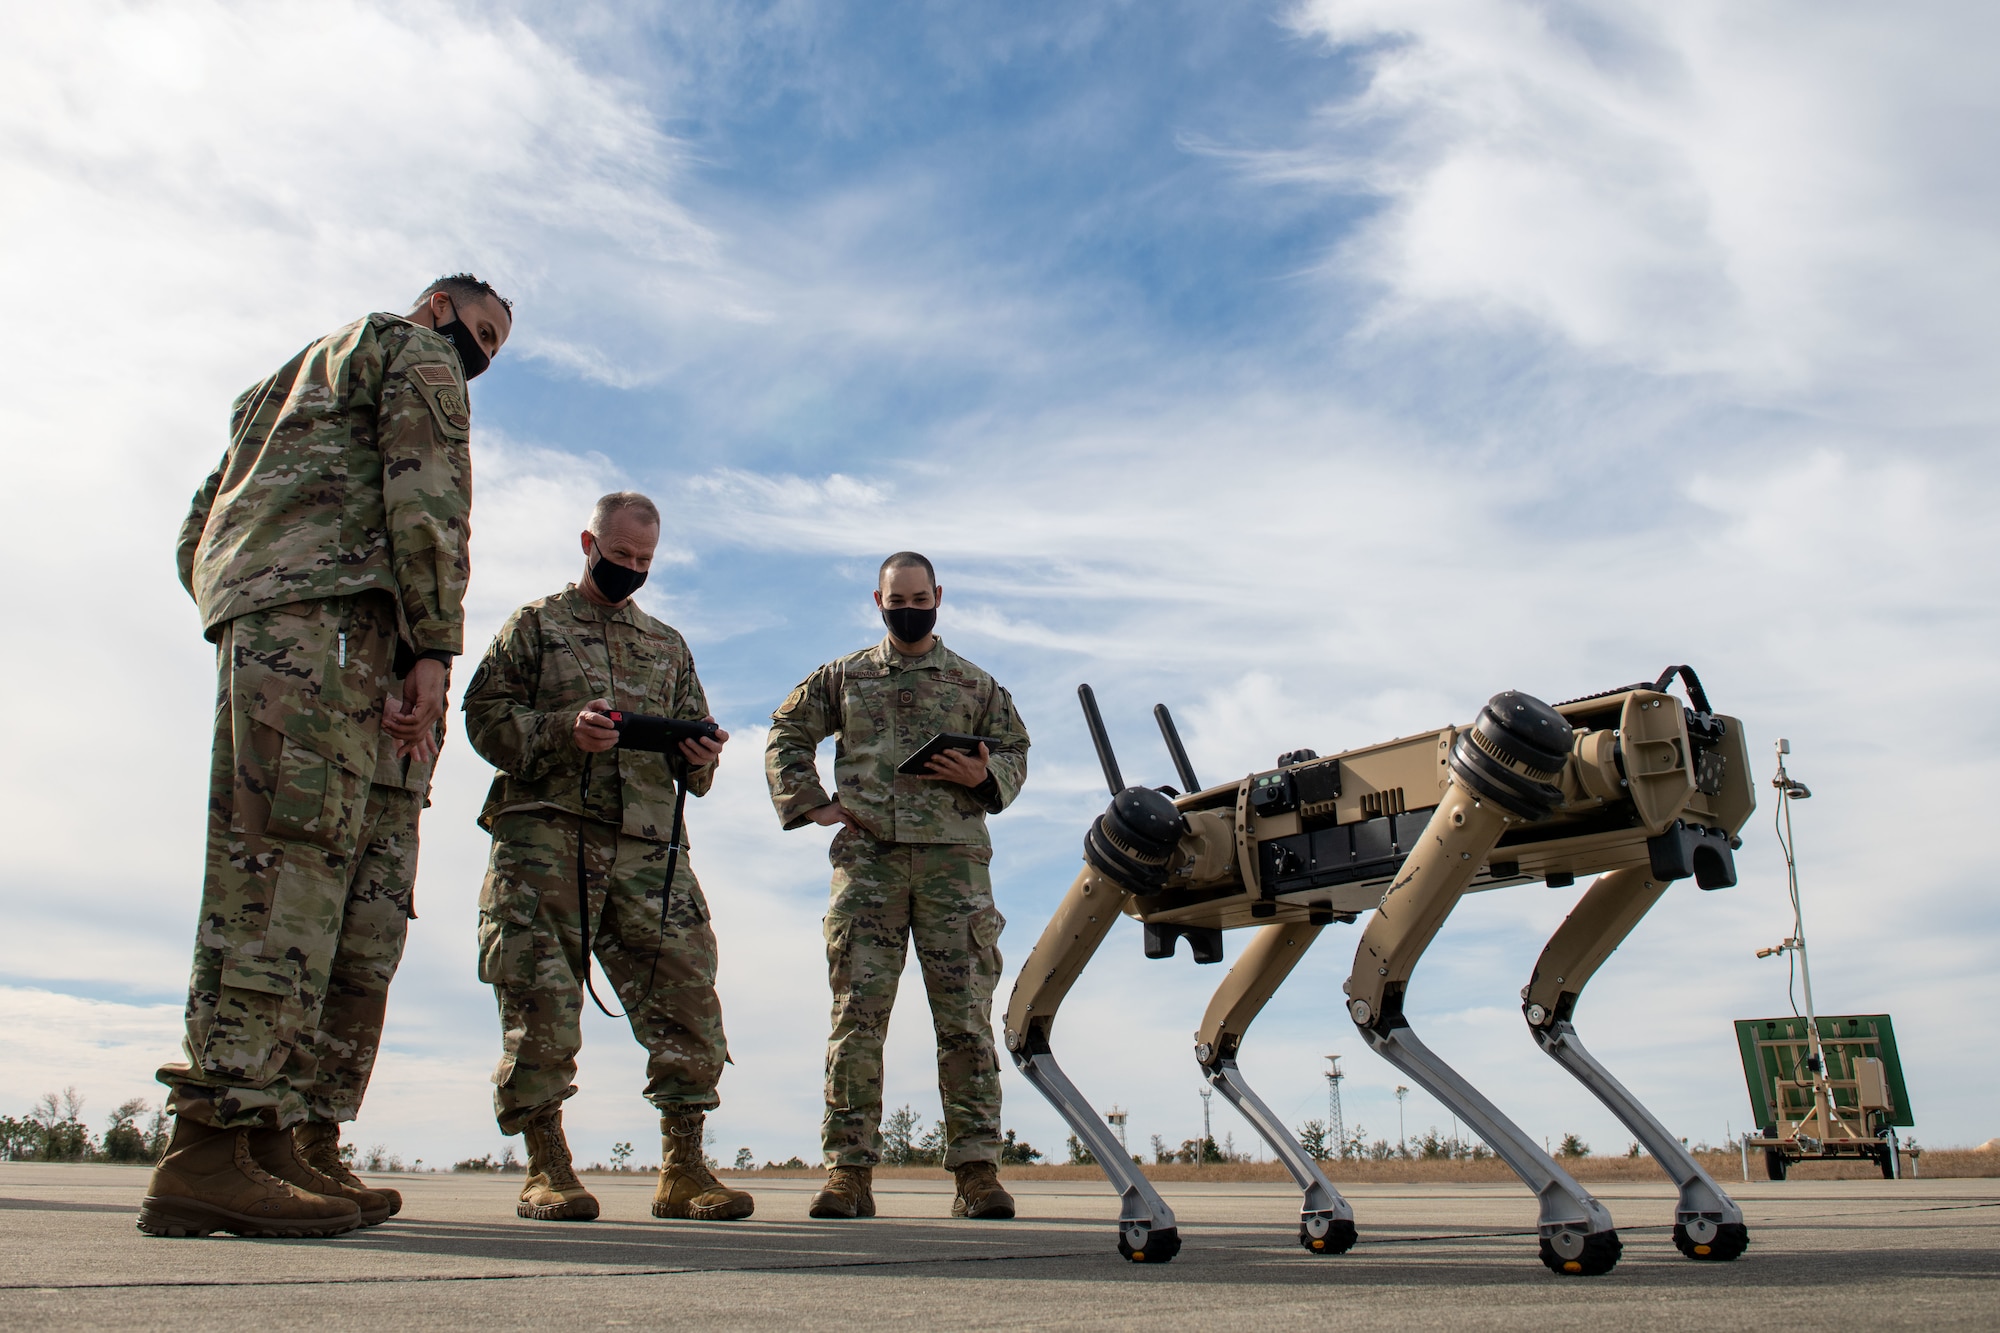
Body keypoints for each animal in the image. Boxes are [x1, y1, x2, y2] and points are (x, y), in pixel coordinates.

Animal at [1000, 668, 1752, 1272]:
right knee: (1025, 1028)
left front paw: (1702, 1209)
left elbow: (1537, 1003)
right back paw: (1143, 1214)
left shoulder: (1310, 905)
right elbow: (1374, 1004)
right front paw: (1569, 1215)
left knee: (1206, 1044)